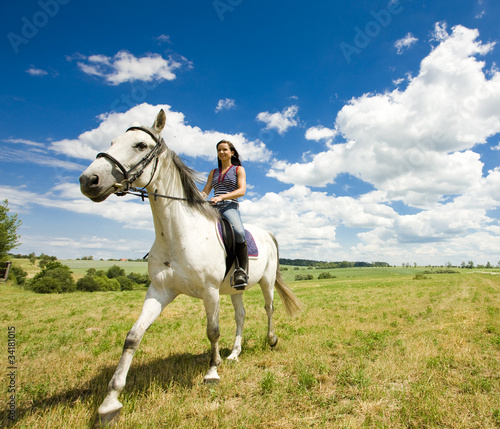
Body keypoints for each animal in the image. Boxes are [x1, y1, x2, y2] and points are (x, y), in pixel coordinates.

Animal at [80, 108, 302, 422]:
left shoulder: (209, 291)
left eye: (140, 145)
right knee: (241, 315)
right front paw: (110, 401)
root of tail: (267, 234)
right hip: (235, 289)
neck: (177, 233)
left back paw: (270, 340)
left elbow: (213, 331)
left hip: (266, 282)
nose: (89, 180)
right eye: (112, 141)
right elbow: (133, 337)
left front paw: (212, 373)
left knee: (269, 308)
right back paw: (234, 353)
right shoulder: (159, 291)